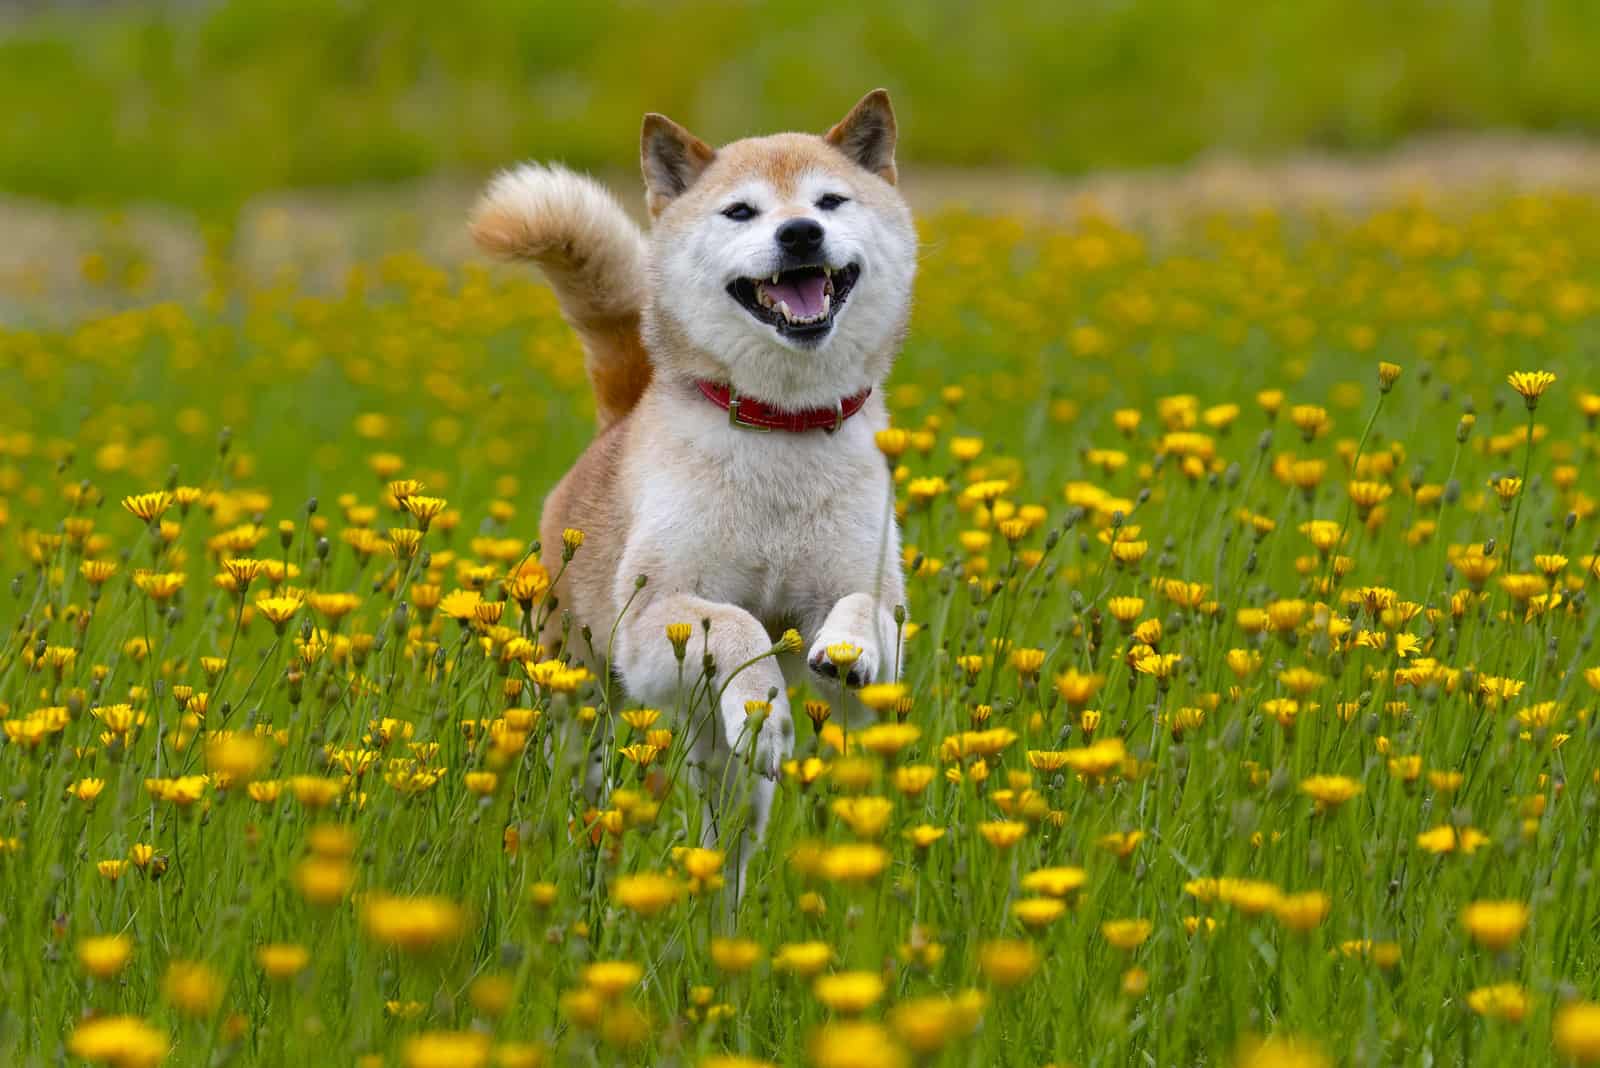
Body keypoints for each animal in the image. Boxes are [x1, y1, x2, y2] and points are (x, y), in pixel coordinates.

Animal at [467, 89, 915, 876]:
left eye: (830, 201)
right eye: (741, 211)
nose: (800, 233)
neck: (782, 428)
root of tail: (615, 422)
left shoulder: (867, 664)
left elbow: (864, 609)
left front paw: (846, 651)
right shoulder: (655, 623)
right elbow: (735, 623)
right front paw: (768, 705)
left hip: (724, 772)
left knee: (728, 835)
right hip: (577, 697)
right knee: (578, 782)